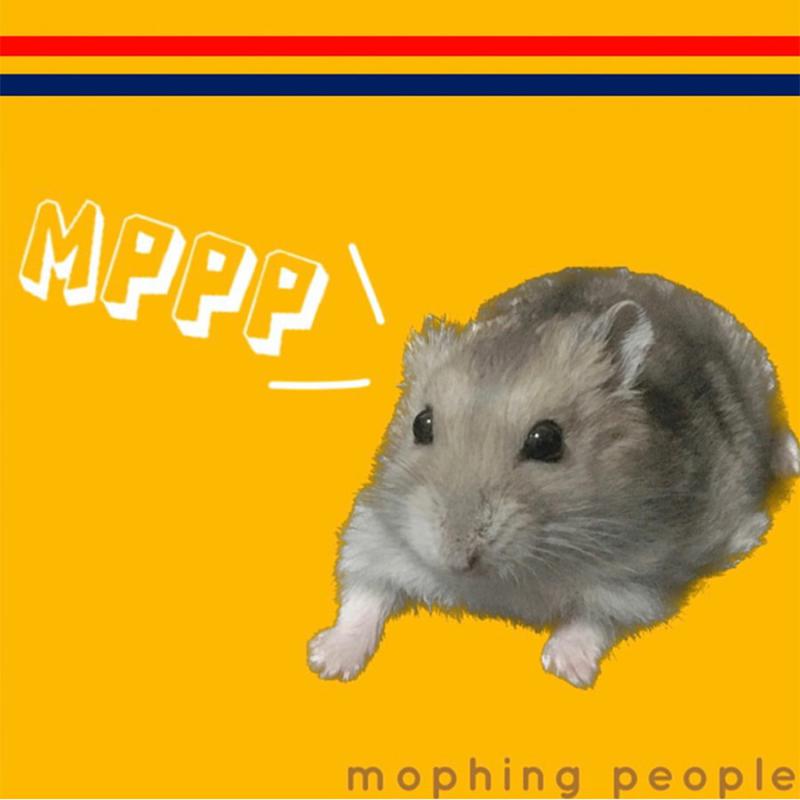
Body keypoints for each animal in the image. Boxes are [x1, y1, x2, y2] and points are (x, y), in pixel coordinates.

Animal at [308, 267, 799, 688]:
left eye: (546, 441)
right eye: (421, 424)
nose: (457, 558)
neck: (498, 582)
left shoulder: (633, 577)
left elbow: (594, 618)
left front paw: (565, 668)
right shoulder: (374, 532)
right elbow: (364, 595)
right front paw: (325, 662)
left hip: (762, 376)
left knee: (777, 434)